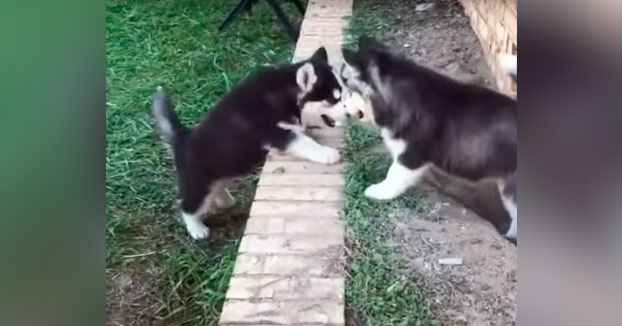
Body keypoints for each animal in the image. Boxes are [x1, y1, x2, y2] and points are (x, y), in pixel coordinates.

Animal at [152, 47, 364, 238]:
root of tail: (183, 138)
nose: (350, 114)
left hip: (225, 168)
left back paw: (225, 200)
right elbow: (304, 142)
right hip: (198, 183)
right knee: (187, 205)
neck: (285, 93)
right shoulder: (275, 133)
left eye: (343, 95)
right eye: (332, 99)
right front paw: (327, 153)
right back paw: (196, 229)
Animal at [338, 37, 520, 239]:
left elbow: (394, 174)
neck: (399, 98)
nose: (341, 106)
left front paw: (380, 191)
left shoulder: (412, 154)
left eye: (349, 89)